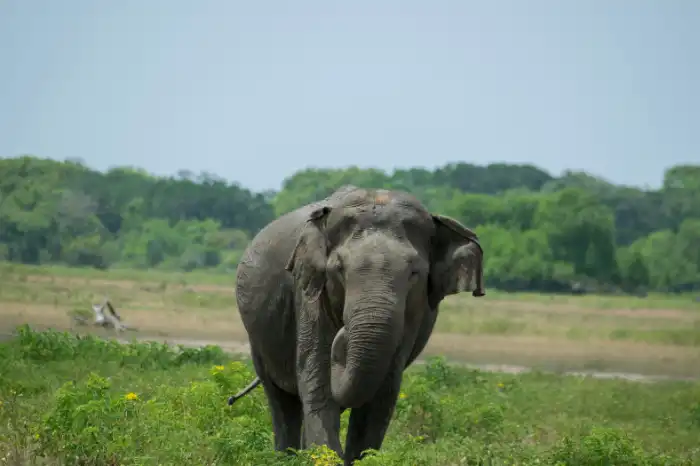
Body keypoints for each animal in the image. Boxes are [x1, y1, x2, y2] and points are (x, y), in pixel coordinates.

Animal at [231, 185, 485, 465]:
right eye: (339, 269)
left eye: (414, 273)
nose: (344, 333)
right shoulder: (308, 289)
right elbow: (317, 377)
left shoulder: (413, 314)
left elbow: (381, 395)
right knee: (281, 401)